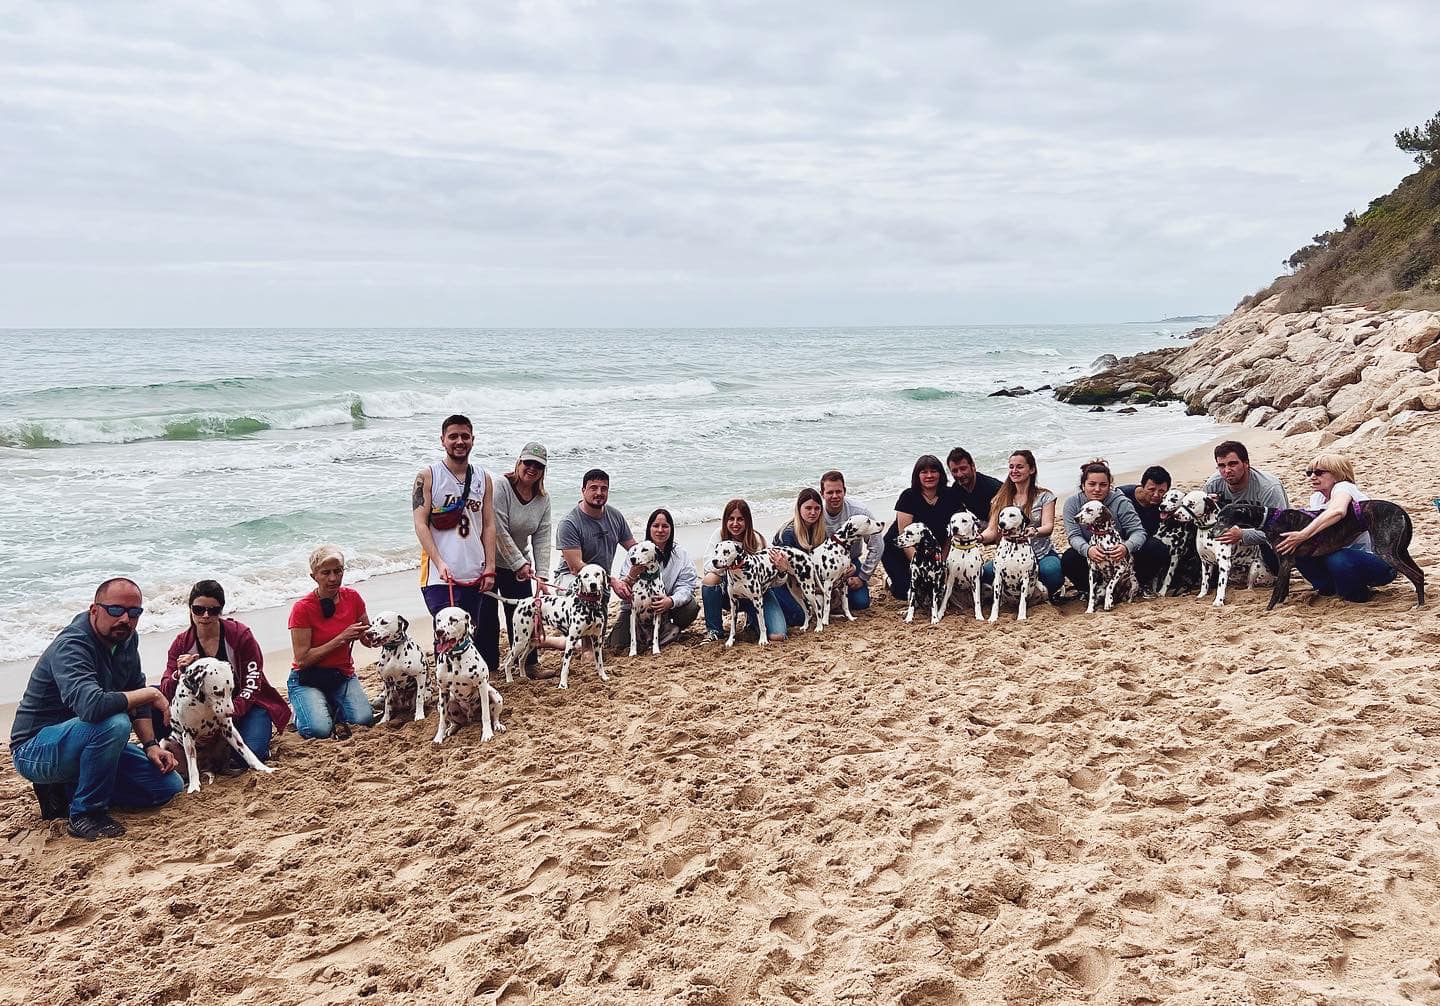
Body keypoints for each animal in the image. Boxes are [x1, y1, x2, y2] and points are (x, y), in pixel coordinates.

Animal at [171, 657, 275, 794]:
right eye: (218, 692)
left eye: (231, 689)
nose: (231, 712)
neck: (204, 704)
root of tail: (208, 767)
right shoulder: (188, 734)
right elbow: (192, 764)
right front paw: (194, 786)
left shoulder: (229, 729)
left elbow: (246, 751)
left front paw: (262, 767)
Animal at [432, 607, 504, 744]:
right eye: (438, 620)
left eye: (453, 619)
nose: (439, 632)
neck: (455, 657)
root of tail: (470, 716)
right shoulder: (443, 691)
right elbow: (442, 720)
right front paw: (438, 738)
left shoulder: (482, 686)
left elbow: (486, 715)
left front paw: (487, 733)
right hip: (445, 702)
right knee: (455, 722)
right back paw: (451, 729)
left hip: (496, 697)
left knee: (494, 717)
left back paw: (498, 726)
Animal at [1214, 499, 1425, 610]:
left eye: (1222, 519)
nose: (1212, 533)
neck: (1270, 519)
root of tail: (1401, 511)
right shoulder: (1287, 561)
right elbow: (1283, 588)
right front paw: (1281, 604)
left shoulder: (1286, 561)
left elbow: (1276, 591)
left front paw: (1268, 610)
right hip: (1400, 550)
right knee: (1421, 573)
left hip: (1385, 551)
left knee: (1415, 575)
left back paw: (1420, 604)